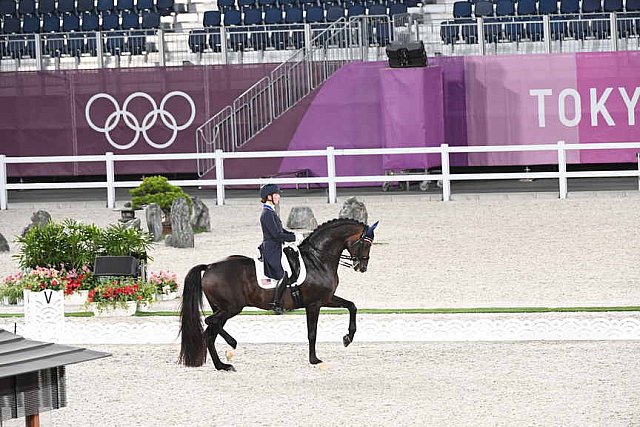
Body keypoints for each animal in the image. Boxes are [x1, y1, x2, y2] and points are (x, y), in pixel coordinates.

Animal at [178, 217, 378, 372]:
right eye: (365, 243)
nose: (362, 267)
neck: (318, 260)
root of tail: (209, 266)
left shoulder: (326, 299)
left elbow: (352, 306)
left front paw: (347, 338)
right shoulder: (314, 303)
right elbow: (312, 333)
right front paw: (314, 360)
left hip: (222, 309)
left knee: (210, 333)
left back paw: (222, 365)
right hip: (231, 308)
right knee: (209, 322)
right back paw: (231, 343)